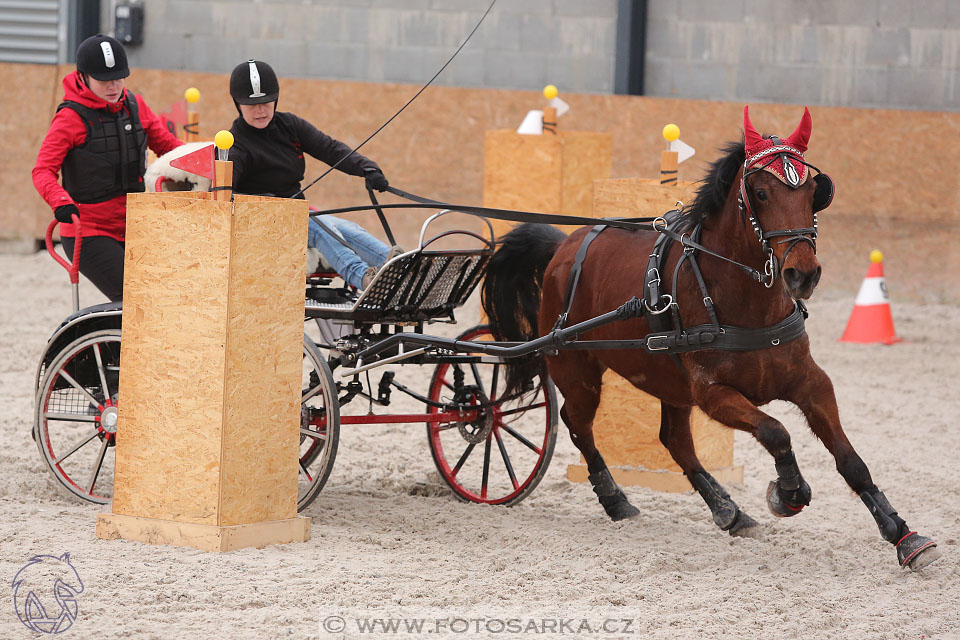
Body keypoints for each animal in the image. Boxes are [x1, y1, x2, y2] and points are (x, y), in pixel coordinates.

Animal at [484, 107, 940, 572]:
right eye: (760, 192)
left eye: (815, 191)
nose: (803, 274)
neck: (747, 302)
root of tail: (565, 244)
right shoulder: (713, 393)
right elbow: (776, 432)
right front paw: (789, 493)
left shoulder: (811, 383)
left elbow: (851, 461)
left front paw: (903, 534)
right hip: (577, 370)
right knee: (578, 424)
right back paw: (616, 501)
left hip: (666, 381)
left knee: (675, 441)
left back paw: (730, 511)